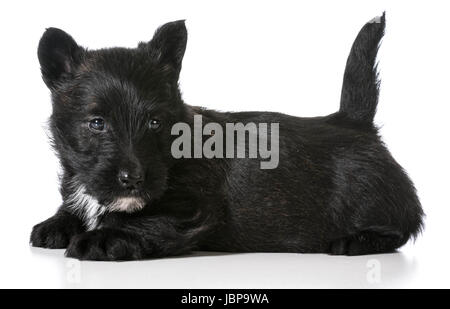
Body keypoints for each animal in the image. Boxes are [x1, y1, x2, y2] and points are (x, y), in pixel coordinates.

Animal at [29, 14, 424, 260]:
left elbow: (138, 221)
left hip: (371, 195)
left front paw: (101, 238)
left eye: (155, 122)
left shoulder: (191, 208)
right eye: (97, 123)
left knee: (403, 227)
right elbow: (76, 208)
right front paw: (57, 224)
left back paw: (356, 241)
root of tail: (354, 121)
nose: (134, 179)